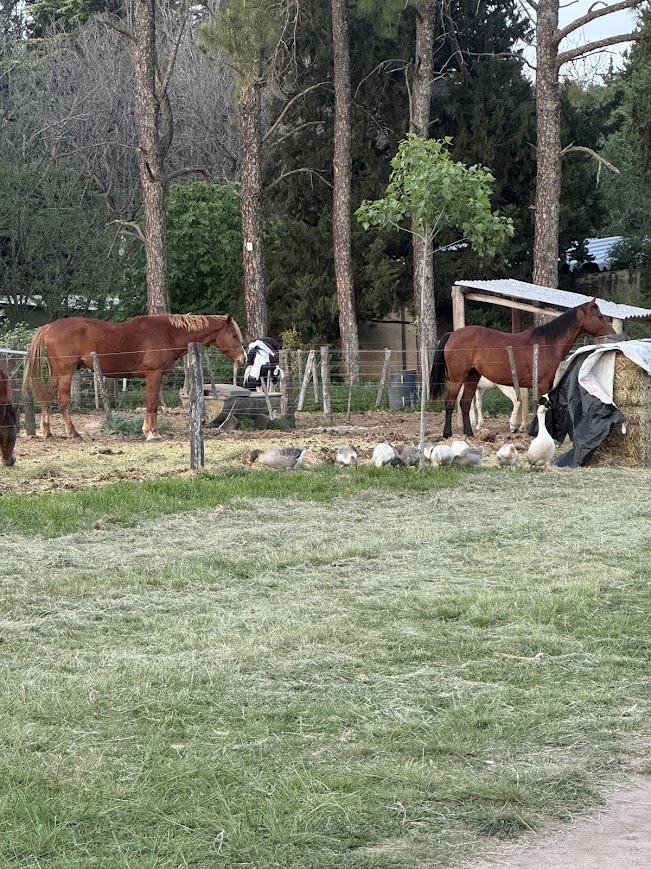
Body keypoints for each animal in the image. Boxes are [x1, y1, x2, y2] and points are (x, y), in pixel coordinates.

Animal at [23, 314, 246, 441]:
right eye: (234, 335)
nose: (243, 359)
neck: (167, 333)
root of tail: (49, 327)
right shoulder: (153, 374)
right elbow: (151, 404)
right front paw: (151, 433)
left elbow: (152, 404)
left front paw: (151, 431)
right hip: (66, 373)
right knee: (62, 401)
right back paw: (73, 433)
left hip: (57, 373)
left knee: (46, 398)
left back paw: (47, 432)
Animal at [430, 299, 615, 438]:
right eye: (599, 316)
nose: (613, 334)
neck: (547, 344)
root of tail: (452, 334)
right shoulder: (541, 384)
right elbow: (542, 406)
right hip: (458, 378)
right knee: (450, 402)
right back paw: (447, 433)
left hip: (472, 377)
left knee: (465, 403)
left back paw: (469, 433)